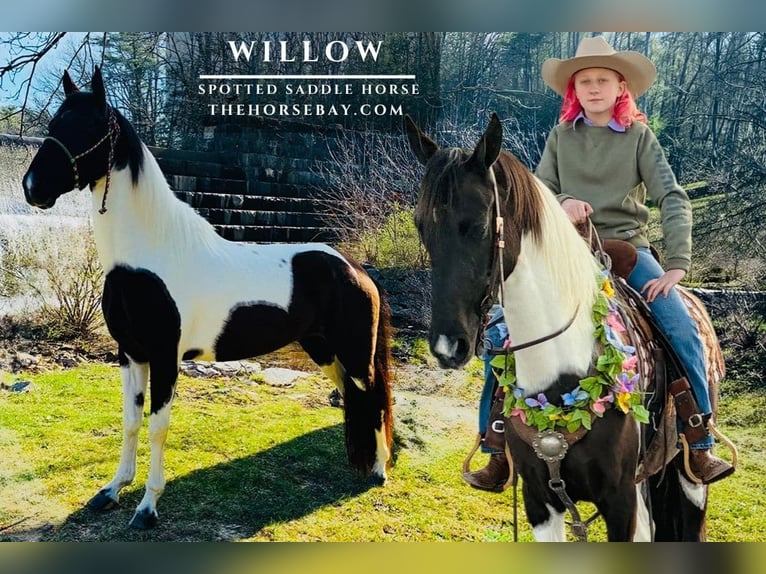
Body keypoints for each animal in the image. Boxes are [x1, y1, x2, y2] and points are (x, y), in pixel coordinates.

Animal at [21, 67, 394, 530]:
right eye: (56, 124)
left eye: (88, 126)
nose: (32, 188)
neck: (148, 257)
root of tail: (355, 269)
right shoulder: (130, 354)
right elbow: (130, 422)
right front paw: (111, 491)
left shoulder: (164, 357)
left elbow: (157, 428)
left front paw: (147, 508)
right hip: (323, 350)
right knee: (355, 399)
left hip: (355, 355)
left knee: (373, 397)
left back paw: (378, 470)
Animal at [404, 112, 722, 542]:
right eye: (421, 226)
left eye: (480, 224)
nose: (446, 347)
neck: (562, 369)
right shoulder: (541, 501)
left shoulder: (619, 501)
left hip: (689, 480)